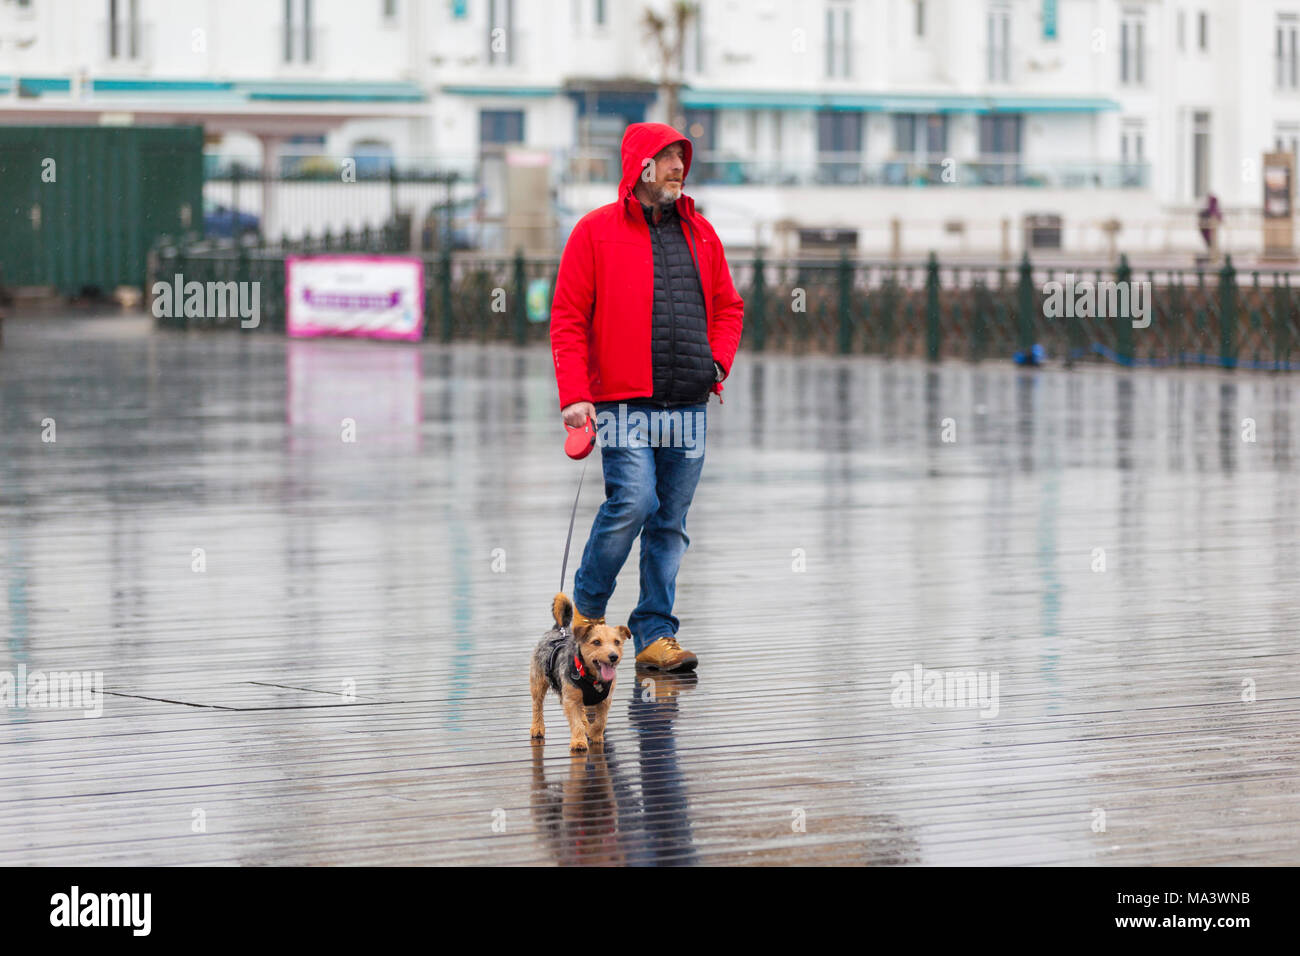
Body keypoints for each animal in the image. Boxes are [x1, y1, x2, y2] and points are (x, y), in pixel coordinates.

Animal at [527, 590, 629, 754]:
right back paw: (537, 728)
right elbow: (576, 723)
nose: (613, 656)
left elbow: (600, 721)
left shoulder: (605, 700)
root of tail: (558, 629)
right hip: (538, 682)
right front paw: (579, 742)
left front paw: (594, 734)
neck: (593, 678)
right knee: (537, 705)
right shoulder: (571, 700)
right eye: (596, 642)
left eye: (617, 642)